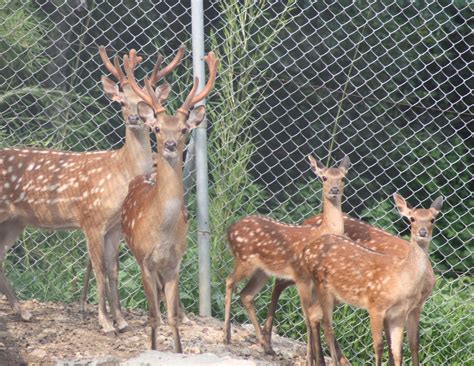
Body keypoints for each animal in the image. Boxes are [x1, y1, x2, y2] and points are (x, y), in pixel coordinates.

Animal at [0, 43, 184, 334]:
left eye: (146, 104)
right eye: (122, 101)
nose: (135, 118)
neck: (121, 172)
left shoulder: (114, 228)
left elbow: (113, 270)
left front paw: (121, 320)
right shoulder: (91, 219)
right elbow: (98, 269)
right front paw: (105, 322)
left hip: (15, 221)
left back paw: (23, 312)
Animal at [121, 51, 219, 352]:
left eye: (185, 129)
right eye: (157, 128)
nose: (171, 145)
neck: (161, 230)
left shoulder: (175, 262)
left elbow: (172, 315)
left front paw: (178, 350)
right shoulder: (144, 259)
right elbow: (153, 315)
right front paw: (153, 348)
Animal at [221, 154, 348, 364]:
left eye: (343, 178)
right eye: (324, 177)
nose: (334, 190)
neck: (322, 233)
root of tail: (230, 230)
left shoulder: (314, 283)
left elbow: (316, 317)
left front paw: (315, 358)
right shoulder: (301, 277)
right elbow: (308, 317)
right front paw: (310, 360)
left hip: (262, 271)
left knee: (246, 295)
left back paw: (267, 347)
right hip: (245, 260)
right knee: (229, 281)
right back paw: (226, 336)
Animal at [302, 193, 442, 364]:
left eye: (433, 219)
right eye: (412, 219)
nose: (422, 232)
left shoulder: (406, 311)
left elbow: (404, 347)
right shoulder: (377, 307)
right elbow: (381, 345)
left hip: (337, 295)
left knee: (313, 314)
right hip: (323, 287)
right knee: (325, 323)